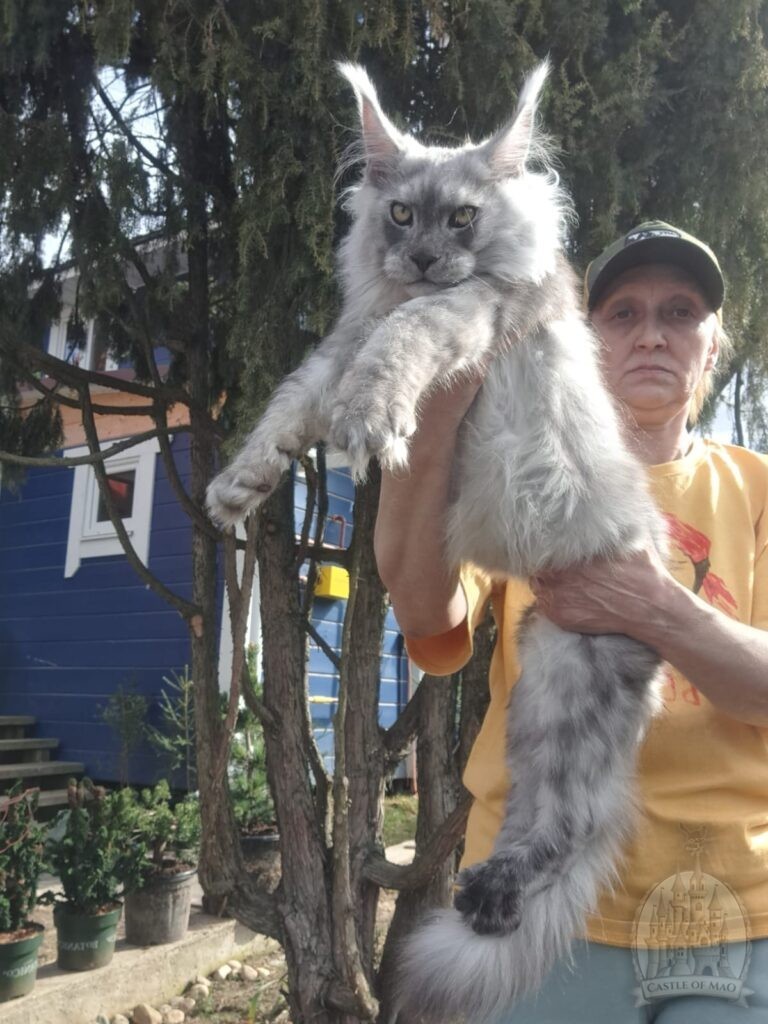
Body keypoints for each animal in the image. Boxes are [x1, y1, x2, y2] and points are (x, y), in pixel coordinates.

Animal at [206, 62, 665, 1023]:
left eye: (461, 219)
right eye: (399, 214)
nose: (418, 259)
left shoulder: (467, 309)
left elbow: (398, 342)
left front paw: (372, 420)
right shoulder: (336, 346)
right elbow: (287, 406)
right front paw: (239, 485)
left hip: (569, 685)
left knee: (578, 819)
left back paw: (492, 896)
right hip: (545, 690)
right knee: (551, 819)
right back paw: (488, 897)